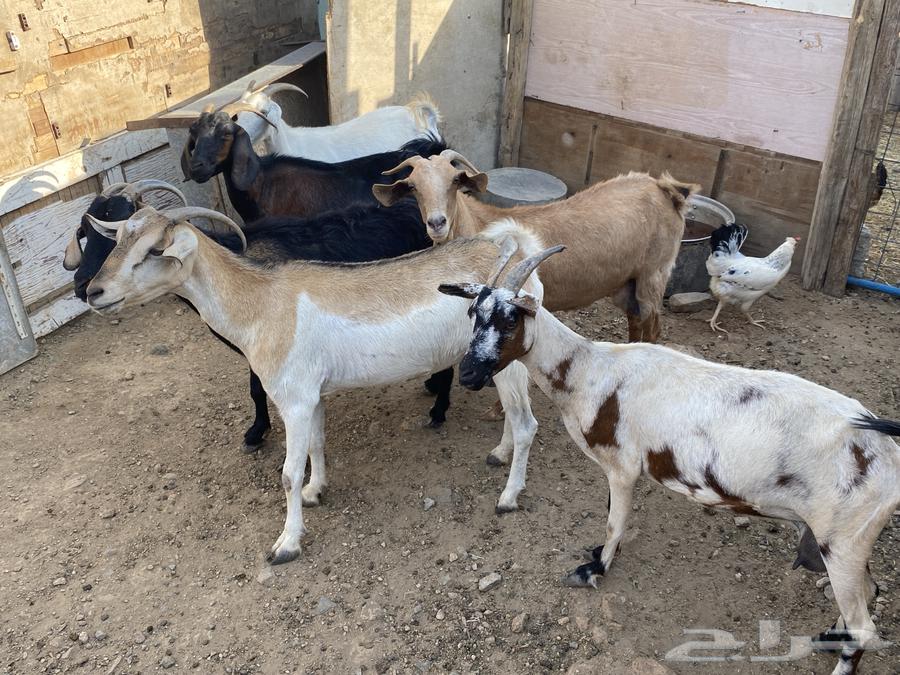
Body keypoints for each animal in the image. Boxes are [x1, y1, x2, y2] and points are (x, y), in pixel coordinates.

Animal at [66, 186, 454, 447]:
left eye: (156, 250)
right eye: (87, 234)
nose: (87, 288)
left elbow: (256, 390)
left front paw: (255, 433)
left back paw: (439, 408)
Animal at [85, 208, 543, 563]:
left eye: (153, 251)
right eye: (118, 240)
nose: (94, 291)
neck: (262, 302)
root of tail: (517, 253)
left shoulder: (293, 400)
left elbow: (287, 473)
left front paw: (286, 544)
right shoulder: (313, 395)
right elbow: (317, 446)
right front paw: (315, 491)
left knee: (527, 423)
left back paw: (508, 497)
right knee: (514, 416)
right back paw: (498, 454)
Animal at [375, 151, 698, 343]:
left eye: (455, 180)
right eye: (413, 186)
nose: (437, 222)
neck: (478, 222)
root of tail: (666, 189)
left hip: (654, 275)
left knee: (653, 327)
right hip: (628, 283)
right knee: (636, 321)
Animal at [440, 246, 900, 675]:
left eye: (510, 319)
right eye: (473, 313)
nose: (469, 375)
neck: (590, 369)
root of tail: (883, 443)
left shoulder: (622, 467)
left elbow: (615, 521)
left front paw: (594, 569)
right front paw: (598, 555)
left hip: (842, 540)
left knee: (864, 625)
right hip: (845, 539)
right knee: (870, 592)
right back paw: (829, 638)